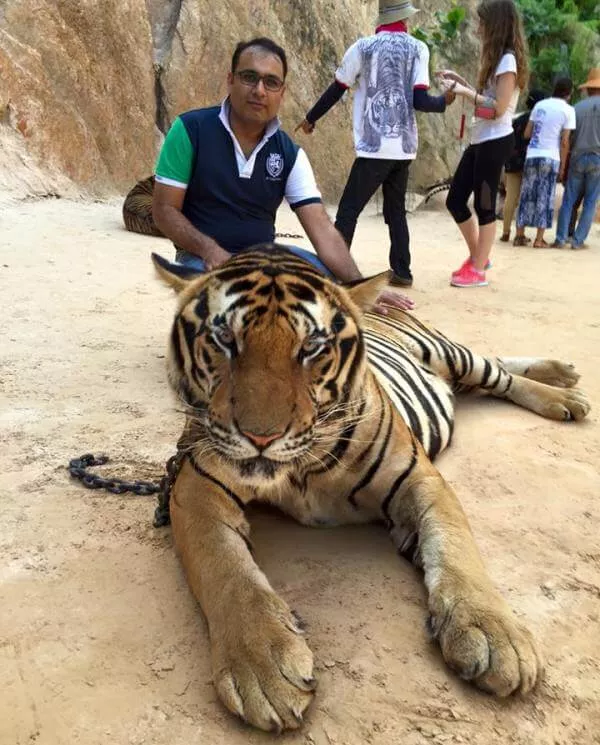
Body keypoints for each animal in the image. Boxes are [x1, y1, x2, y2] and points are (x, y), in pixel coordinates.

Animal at [152, 246, 589, 733]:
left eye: (312, 348)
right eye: (225, 340)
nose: (260, 437)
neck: (299, 468)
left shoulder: (419, 478)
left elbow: (456, 547)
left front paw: (495, 635)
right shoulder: (197, 486)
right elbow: (226, 570)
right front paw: (262, 666)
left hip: (450, 353)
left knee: (497, 371)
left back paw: (565, 392)